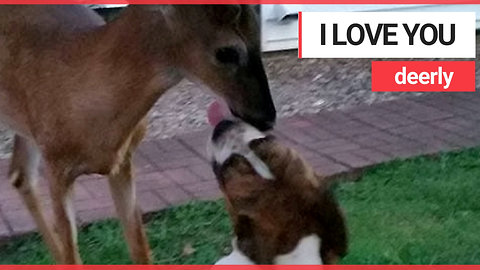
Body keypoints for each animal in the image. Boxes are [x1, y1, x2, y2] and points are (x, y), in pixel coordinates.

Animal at [0, 5, 276, 264]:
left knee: (20, 175)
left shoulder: (123, 161)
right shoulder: (57, 167)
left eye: (258, 39)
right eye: (227, 51)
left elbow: (140, 250)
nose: (267, 117)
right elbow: (73, 257)